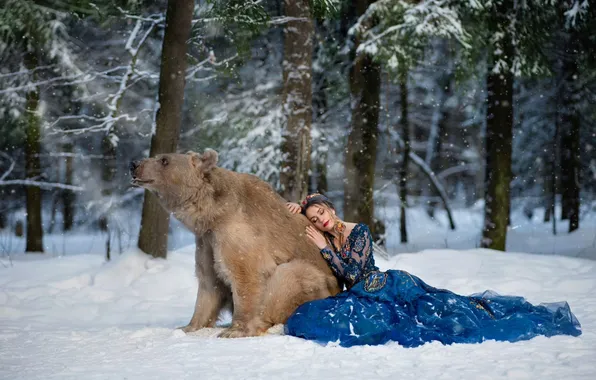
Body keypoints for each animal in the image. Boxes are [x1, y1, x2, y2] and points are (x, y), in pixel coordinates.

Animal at [131, 150, 342, 336]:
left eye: (164, 160)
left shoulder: (236, 232)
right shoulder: (206, 241)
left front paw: (236, 330)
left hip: (320, 285)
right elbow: (208, 280)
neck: (212, 213)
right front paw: (188, 326)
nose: (134, 164)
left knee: (291, 275)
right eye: (158, 156)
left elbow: (245, 274)